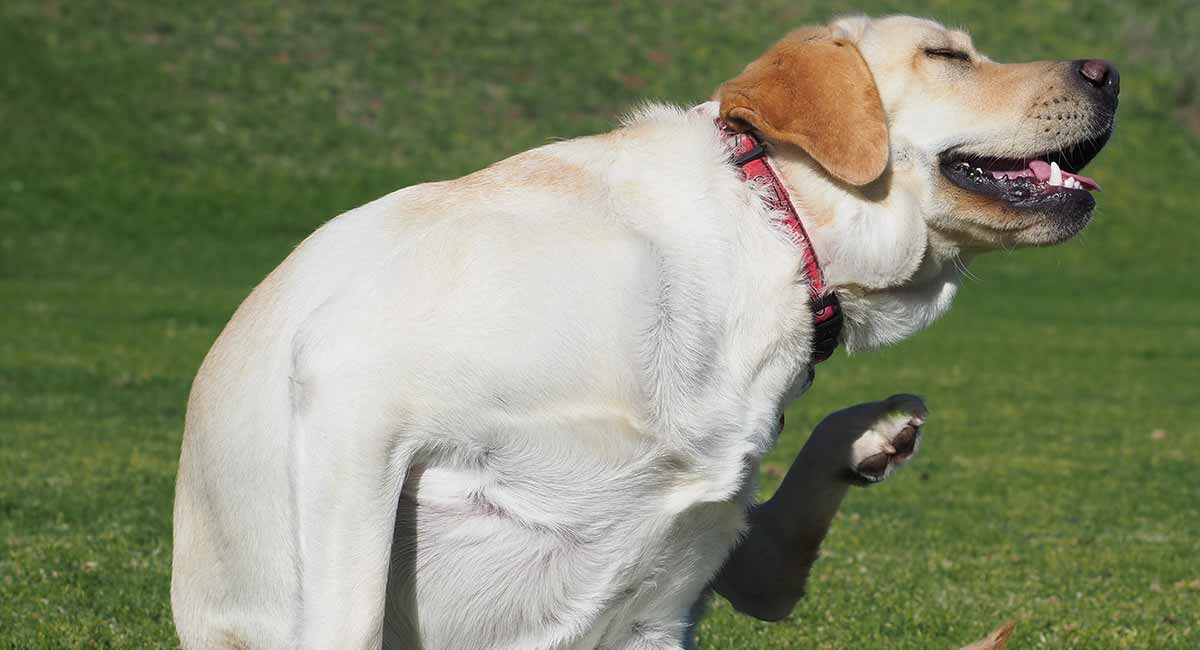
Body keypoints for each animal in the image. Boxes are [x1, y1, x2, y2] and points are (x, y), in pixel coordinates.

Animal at [169, 11, 1113, 650]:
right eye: (947, 55)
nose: (1107, 71)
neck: (767, 235)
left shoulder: (672, 593)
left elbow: (764, 569)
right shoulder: (354, 382)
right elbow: (353, 620)